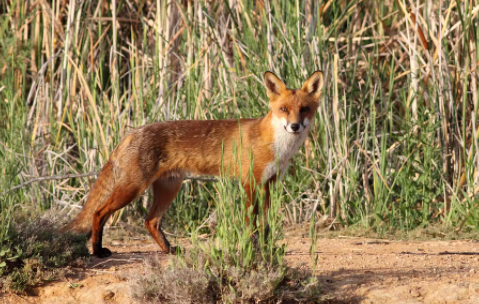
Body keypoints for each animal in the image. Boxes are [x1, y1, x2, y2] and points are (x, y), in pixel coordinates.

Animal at [62, 70, 322, 256]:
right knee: (99, 212)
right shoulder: (250, 183)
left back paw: (169, 250)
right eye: (284, 109)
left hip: (169, 188)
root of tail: (131, 133)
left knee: (150, 221)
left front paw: (267, 250)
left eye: (304, 109)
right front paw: (252, 249)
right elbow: (251, 224)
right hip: (132, 189)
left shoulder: (269, 184)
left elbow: (265, 225)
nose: (295, 126)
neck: (277, 147)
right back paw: (97, 251)